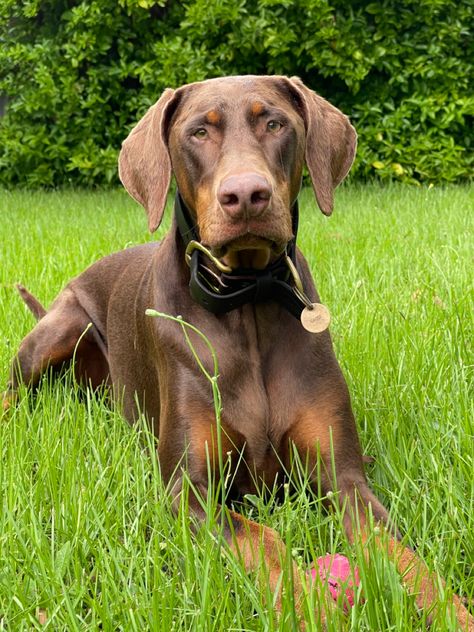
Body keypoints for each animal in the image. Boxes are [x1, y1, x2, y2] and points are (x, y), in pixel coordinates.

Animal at [3, 74, 474, 628]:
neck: (247, 300)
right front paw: (311, 606)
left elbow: (403, 555)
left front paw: (451, 611)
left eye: (273, 122)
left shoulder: (344, 478)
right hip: (61, 327)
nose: (246, 194)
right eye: (198, 132)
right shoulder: (188, 491)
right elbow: (260, 538)